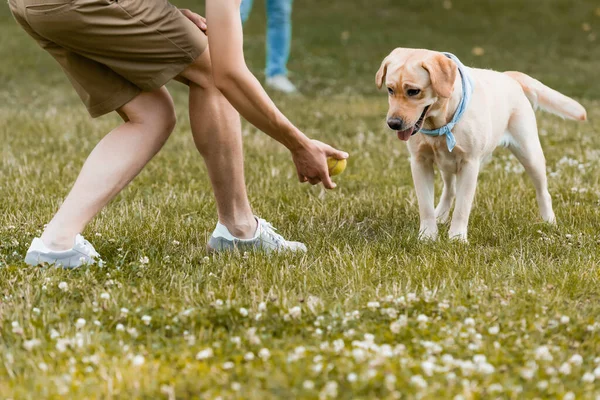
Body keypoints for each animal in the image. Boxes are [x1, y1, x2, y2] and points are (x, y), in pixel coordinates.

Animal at [378, 47, 588, 241]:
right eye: (390, 89)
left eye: (414, 91)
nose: (393, 123)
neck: (440, 123)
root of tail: (507, 76)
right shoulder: (420, 161)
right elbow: (426, 205)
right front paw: (428, 236)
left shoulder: (469, 163)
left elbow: (462, 207)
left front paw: (457, 238)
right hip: (446, 163)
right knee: (449, 190)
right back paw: (441, 215)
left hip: (530, 154)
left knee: (543, 191)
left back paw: (549, 221)